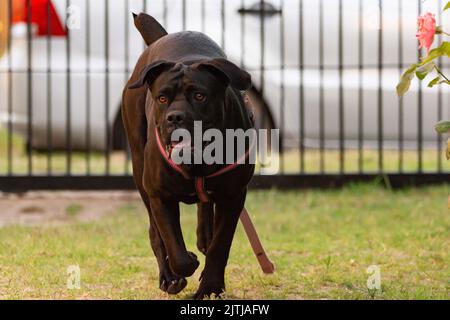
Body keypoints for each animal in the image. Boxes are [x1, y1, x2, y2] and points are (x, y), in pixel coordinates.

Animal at [121, 11, 255, 298]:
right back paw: (169, 277)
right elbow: (173, 246)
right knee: (155, 234)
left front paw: (211, 285)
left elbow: (220, 246)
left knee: (206, 217)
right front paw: (186, 265)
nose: (175, 117)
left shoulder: (233, 195)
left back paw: (204, 237)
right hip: (139, 171)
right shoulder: (159, 195)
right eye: (162, 98)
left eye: (199, 95)